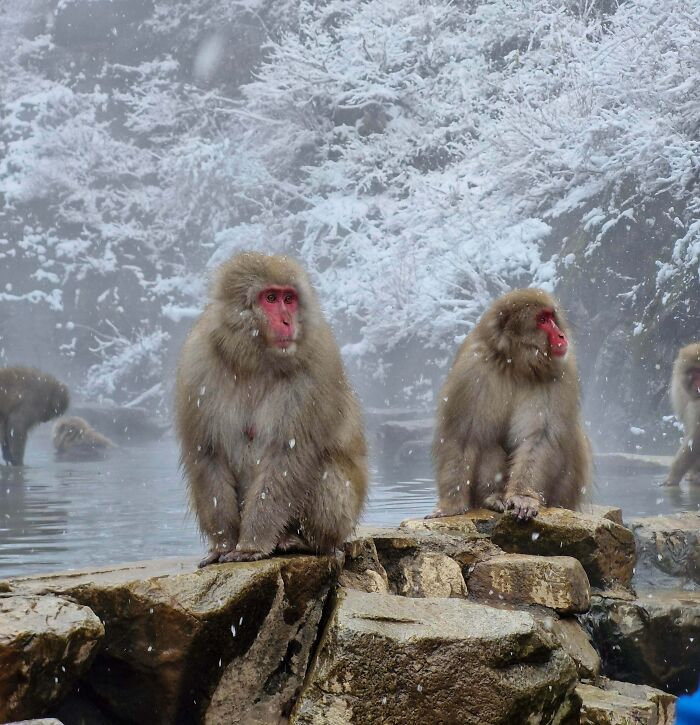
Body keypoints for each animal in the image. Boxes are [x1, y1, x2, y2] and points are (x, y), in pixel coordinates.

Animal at [175, 251, 368, 567]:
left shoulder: (315, 367)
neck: (253, 360)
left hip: (343, 516)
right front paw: (223, 545)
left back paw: (301, 541)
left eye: (289, 299)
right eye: (270, 298)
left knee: (323, 470)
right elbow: (208, 453)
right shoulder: (198, 362)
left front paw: (251, 544)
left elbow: (287, 456)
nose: (287, 321)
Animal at [429, 288, 591, 522]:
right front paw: (451, 505)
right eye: (542, 320)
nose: (561, 335)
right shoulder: (472, 370)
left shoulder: (561, 373)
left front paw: (523, 497)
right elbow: (462, 436)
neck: (517, 364)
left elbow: (540, 438)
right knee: (487, 440)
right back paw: (492, 498)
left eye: (552, 317)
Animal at [662, 342, 700, 487]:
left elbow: (696, 437)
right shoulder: (679, 389)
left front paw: (673, 476)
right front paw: (693, 473)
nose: (699, 385)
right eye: (695, 372)